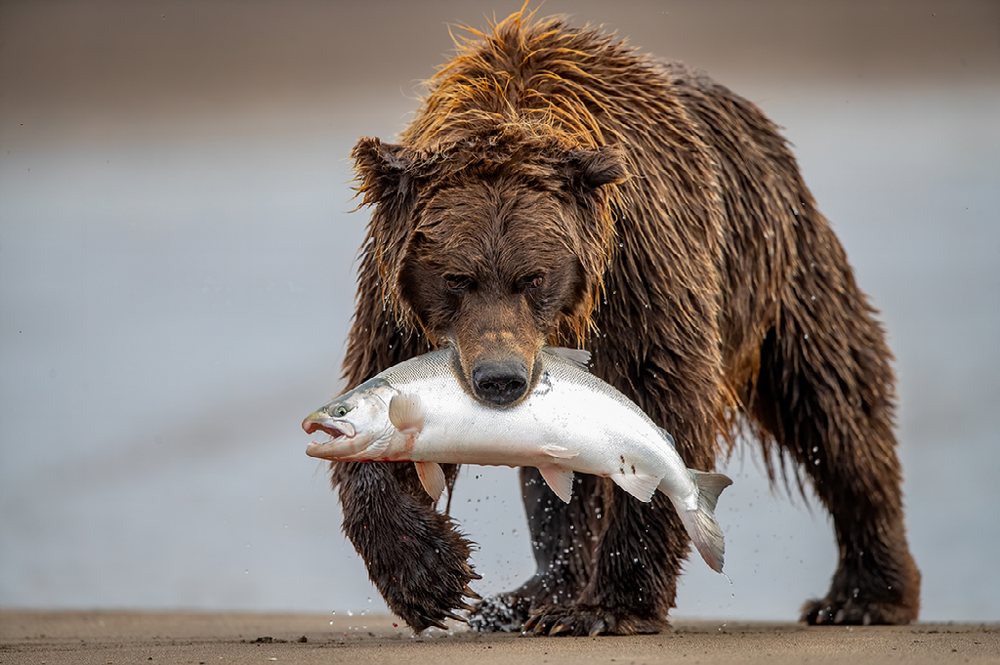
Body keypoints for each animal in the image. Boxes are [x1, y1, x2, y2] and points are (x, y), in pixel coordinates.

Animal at [326, 7, 916, 636]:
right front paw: (432, 577)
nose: (501, 380)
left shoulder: (641, 264)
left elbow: (666, 396)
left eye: (533, 277)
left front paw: (608, 607)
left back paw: (864, 595)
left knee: (833, 404)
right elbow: (377, 397)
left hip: (779, 269)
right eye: (456, 278)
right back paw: (530, 598)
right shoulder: (397, 302)